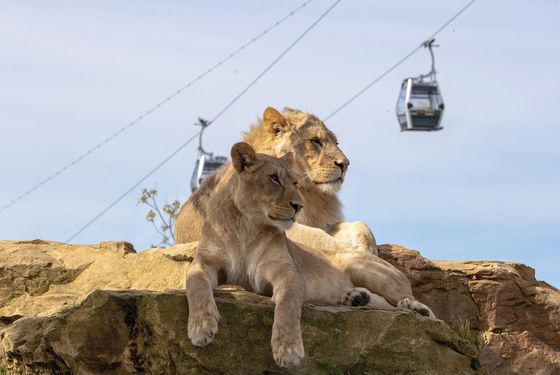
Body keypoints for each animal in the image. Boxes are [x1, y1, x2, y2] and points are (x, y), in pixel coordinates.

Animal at [177, 106, 436, 318]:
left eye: (336, 143)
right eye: (315, 141)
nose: (345, 164)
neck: (309, 192)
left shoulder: (325, 221)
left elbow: (360, 226)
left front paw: (368, 248)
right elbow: (320, 239)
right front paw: (359, 254)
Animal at [187, 142, 394, 368]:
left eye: (294, 182)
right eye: (274, 178)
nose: (299, 206)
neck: (247, 226)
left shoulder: (287, 273)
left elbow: (288, 305)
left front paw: (288, 350)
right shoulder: (202, 263)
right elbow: (197, 286)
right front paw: (201, 327)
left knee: (397, 302)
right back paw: (356, 297)